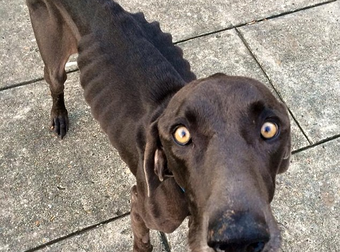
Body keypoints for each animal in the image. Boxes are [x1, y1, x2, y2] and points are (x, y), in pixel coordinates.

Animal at [27, 0, 292, 251]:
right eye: (182, 134)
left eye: (269, 129)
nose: (240, 238)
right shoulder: (140, 204)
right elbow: (143, 241)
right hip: (53, 56)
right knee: (54, 80)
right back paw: (59, 116)